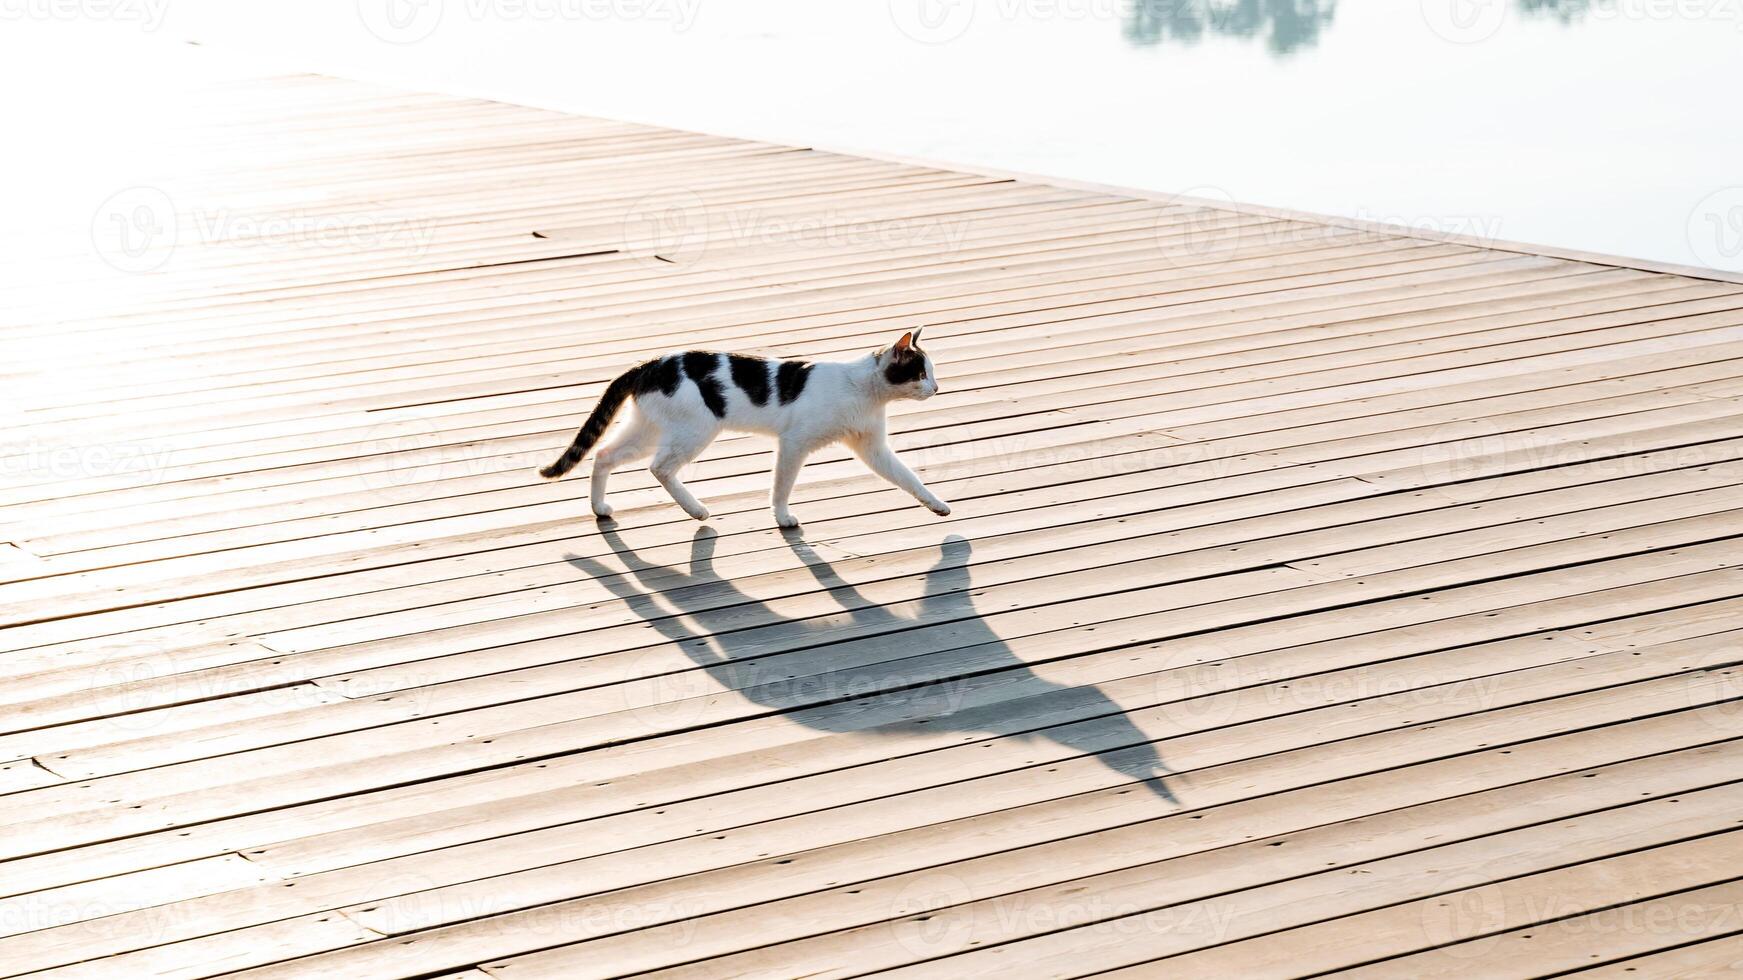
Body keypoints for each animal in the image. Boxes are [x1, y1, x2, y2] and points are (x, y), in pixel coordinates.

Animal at [543, 327, 955, 526]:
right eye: (921, 373)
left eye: (932, 374)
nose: (937, 388)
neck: (865, 392)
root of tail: (649, 363)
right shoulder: (793, 442)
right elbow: (782, 485)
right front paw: (783, 518)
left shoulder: (873, 448)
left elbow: (908, 478)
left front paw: (936, 505)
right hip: (694, 430)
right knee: (659, 468)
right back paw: (697, 510)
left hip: (648, 430)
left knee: (603, 454)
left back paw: (600, 507)